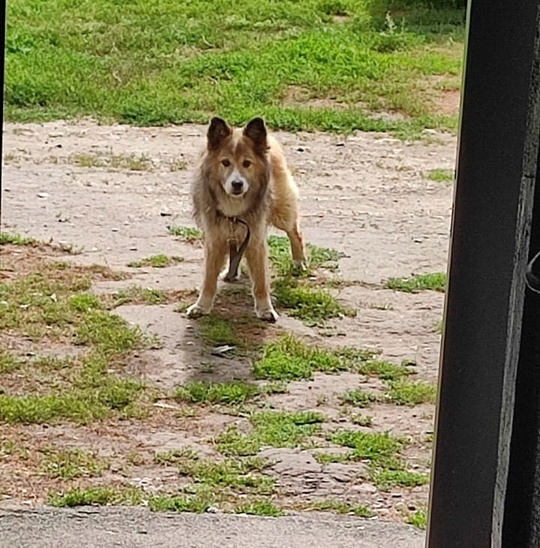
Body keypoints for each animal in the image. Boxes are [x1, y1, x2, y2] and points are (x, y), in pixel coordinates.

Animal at [186, 115, 306, 322]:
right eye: (225, 162)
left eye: (247, 163)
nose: (237, 184)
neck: (234, 205)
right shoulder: (214, 239)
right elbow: (208, 279)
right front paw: (201, 306)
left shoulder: (256, 240)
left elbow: (261, 281)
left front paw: (265, 309)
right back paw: (231, 272)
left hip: (282, 212)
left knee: (295, 231)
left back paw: (299, 262)